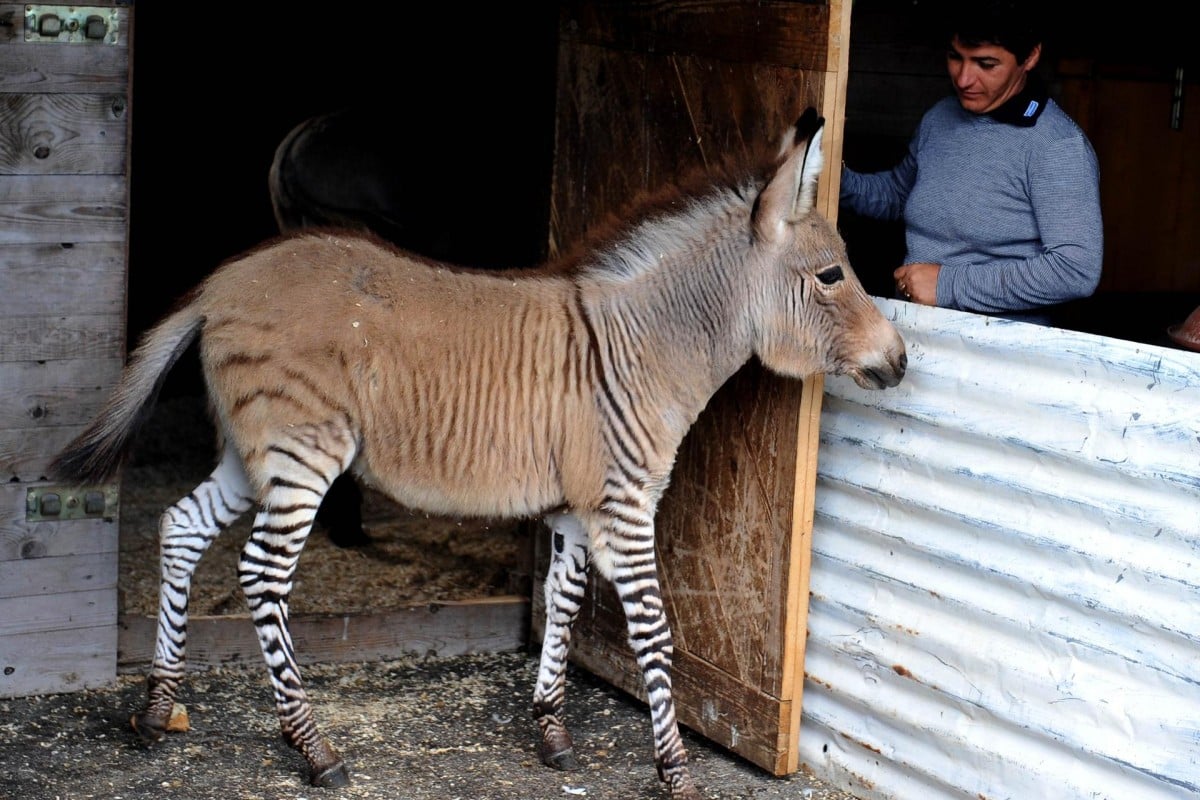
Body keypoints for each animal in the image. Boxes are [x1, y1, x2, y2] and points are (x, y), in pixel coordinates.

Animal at [49, 107, 907, 800]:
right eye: (832, 274)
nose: (901, 362)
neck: (645, 347)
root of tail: (219, 286)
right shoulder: (625, 505)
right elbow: (653, 632)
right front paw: (676, 772)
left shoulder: (575, 506)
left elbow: (563, 601)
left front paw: (552, 730)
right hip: (301, 451)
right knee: (261, 572)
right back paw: (313, 747)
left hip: (250, 451)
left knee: (181, 529)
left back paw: (158, 708)